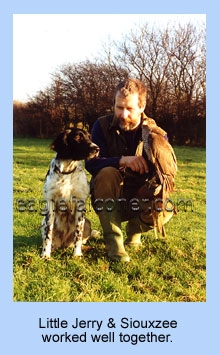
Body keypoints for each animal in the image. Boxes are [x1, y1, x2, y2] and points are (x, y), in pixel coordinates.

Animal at [40, 128, 99, 258]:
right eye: (77, 137)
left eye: (89, 137)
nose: (97, 148)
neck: (66, 171)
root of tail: (64, 244)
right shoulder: (50, 203)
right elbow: (48, 234)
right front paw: (45, 254)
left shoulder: (80, 204)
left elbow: (78, 234)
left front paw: (76, 254)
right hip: (43, 222)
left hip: (87, 223)